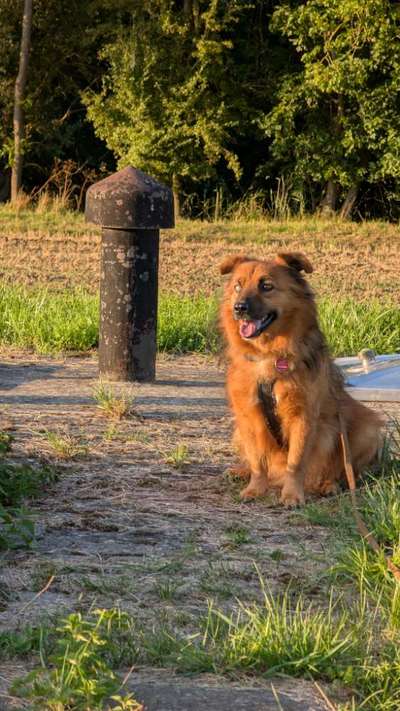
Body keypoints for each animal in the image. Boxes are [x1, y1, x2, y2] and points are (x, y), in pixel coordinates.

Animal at [220, 252, 382, 506]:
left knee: (344, 471)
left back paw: (328, 485)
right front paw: (255, 489)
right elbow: (257, 461)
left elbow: (295, 463)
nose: (239, 307)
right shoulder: (249, 415)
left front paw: (292, 495)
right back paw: (241, 471)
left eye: (266, 286)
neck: (270, 355)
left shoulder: (303, 416)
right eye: (238, 286)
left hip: (367, 430)